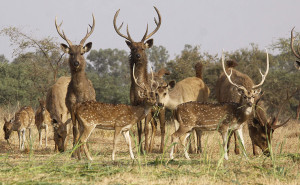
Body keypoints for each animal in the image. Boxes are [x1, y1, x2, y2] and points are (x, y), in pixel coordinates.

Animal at [54, 14, 95, 150]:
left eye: (82, 53)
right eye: (71, 53)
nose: (76, 63)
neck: (79, 94)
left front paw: (81, 147)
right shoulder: (71, 107)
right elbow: (74, 129)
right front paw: (74, 149)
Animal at [113, 6, 163, 152]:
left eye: (142, 48)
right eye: (133, 48)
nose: (138, 55)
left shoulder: (148, 107)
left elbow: (145, 128)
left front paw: (144, 149)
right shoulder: (135, 104)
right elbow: (139, 129)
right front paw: (140, 149)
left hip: (161, 109)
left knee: (159, 127)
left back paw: (158, 148)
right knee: (154, 125)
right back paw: (150, 147)